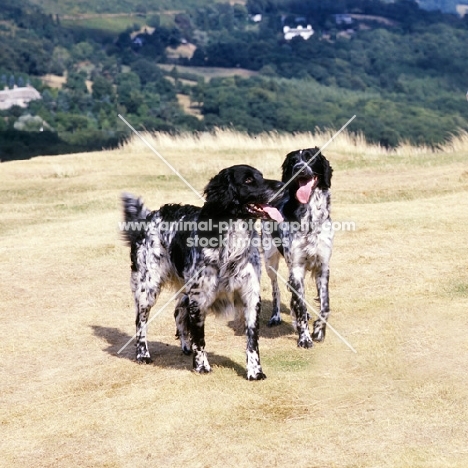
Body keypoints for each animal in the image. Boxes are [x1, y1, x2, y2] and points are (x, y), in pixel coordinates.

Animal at [121, 165, 282, 380]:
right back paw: (143, 354)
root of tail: (149, 217)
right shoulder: (199, 298)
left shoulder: (250, 295)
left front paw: (255, 371)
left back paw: (185, 346)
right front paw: (201, 366)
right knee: (140, 322)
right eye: (248, 180)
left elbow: (252, 340)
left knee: (177, 312)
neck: (230, 243)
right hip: (147, 288)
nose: (281, 185)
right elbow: (200, 338)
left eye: (261, 176)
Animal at [264, 148, 332, 350]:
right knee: (276, 289)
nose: (299, 168)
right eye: (293, 161)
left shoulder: (323, 266)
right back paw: (276, 316)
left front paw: (318, 330)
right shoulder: (296, 267)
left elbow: (325, 305)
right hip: (269, 261)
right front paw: (305, 338)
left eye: (311, 157)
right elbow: (300, 306)